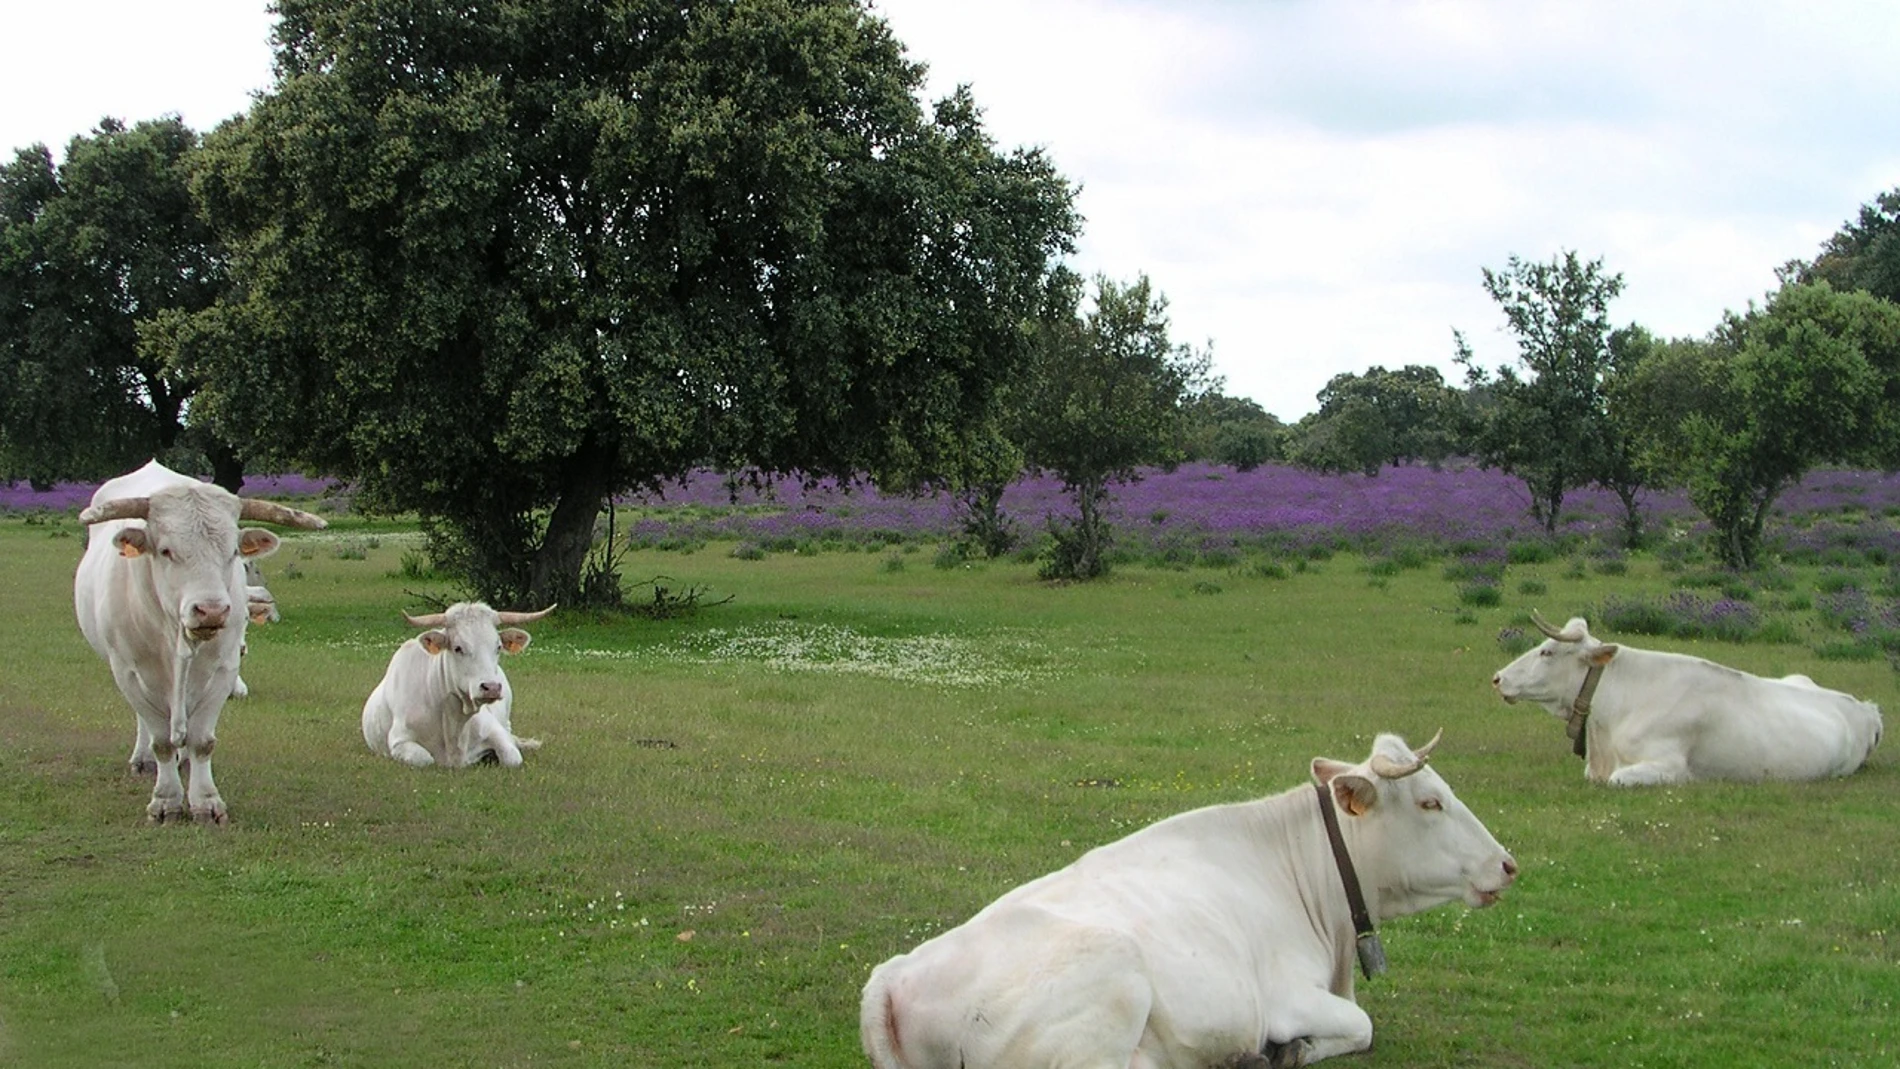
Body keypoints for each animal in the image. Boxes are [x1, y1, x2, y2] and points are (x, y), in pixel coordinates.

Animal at [74, 455, 324, 824]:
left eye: (234, 551)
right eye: (166, 550)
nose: (211, 611)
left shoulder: (223, 670)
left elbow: (203, 740)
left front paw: (206, 801)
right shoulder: (128, 671)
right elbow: (161, 741)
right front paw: (166, 800)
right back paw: (144, 760)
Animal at [361, 603, 554, 770]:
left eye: (498, 647)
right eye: (458, 648)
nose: (491, 687)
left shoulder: (496, 731)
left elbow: (512, 758)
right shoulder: (399, 741)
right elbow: (425, 759)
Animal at [862, 736, 1512, 1069]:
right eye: (1430, 802)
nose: (1507, 864)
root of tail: (893, 978)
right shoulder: (1287, 998)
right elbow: (1363, 1025)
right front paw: (1293, 1049)